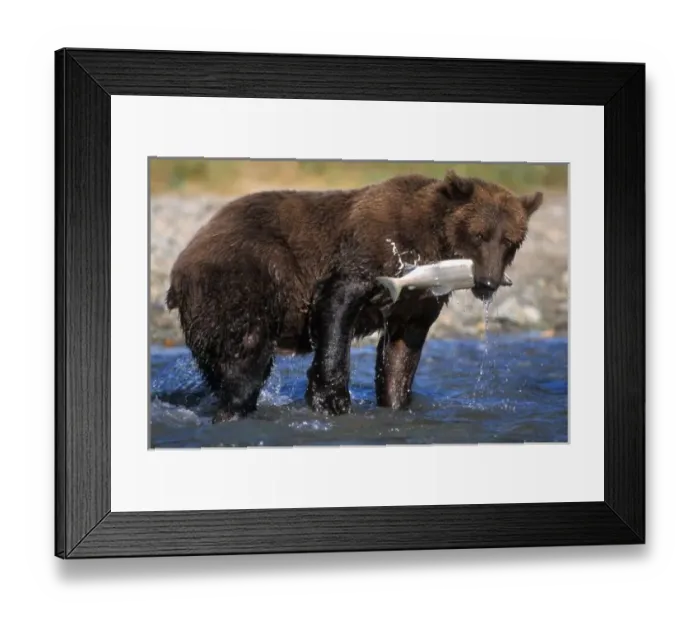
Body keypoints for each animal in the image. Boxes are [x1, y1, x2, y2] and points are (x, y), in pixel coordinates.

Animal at [165, 170, 542, 421]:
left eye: (510, 240)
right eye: (480, 234)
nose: (488, 282)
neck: (430, 245)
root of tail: (182, 261)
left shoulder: (417, 302)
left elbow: (401, 352)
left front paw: (394, 401)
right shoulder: (371, 250)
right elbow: (337, 305)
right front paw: (331, 400)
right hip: (244, 279)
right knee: (246, 357)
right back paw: (234, 409)